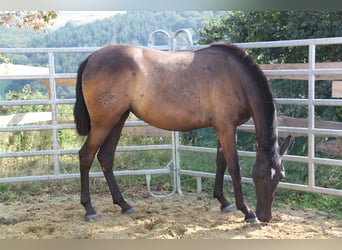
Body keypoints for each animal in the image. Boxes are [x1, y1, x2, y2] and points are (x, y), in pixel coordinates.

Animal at [74, 42, 292, 224]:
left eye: (280, 176)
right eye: (259, 176)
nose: (265, 216)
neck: (235, 76)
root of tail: (92, 57)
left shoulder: (224, 128)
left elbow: (220, 163)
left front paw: (223, 201)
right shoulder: (227, 128)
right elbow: (234, 168)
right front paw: (246, 212)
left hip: (118, 119)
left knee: (106, 157)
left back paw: (124, 205)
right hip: (104, 123)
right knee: (86, 156)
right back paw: (89, 210)